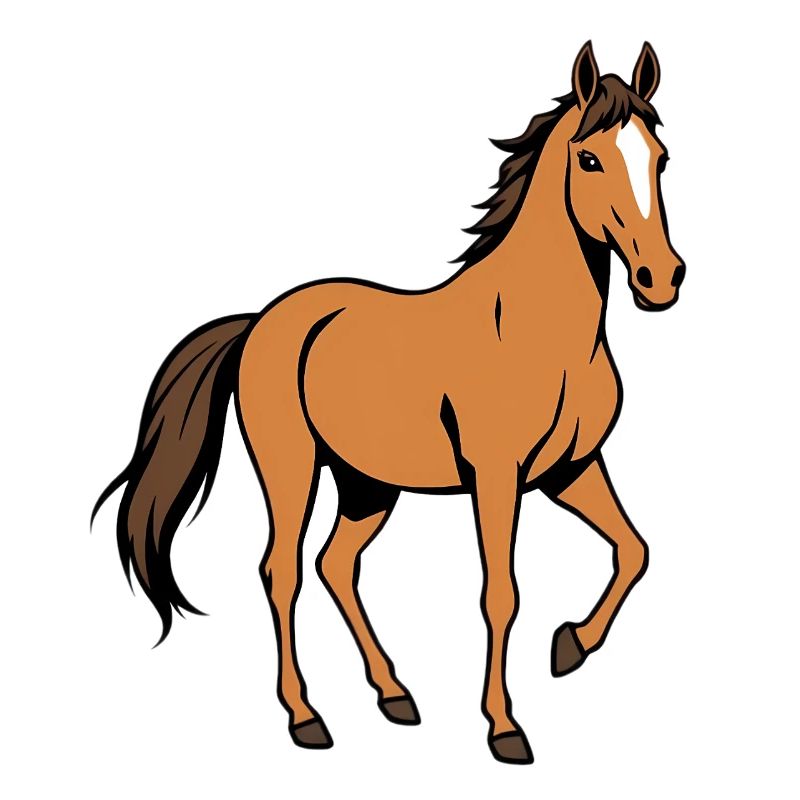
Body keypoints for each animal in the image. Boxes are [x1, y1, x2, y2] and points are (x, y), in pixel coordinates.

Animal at [94, 41, 684, 765]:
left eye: (660, 157)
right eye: (591, 158)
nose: (662, 279)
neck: (533, 328)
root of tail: (261, 320)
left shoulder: (571, 469)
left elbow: (634, 550)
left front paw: (568, 647)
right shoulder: (497, 476)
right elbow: (501, 594)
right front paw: (504, 728)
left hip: (366, 484)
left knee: (336, 565)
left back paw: (395, 695)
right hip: (292, 469)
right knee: (282, 571)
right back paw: (306, 718)